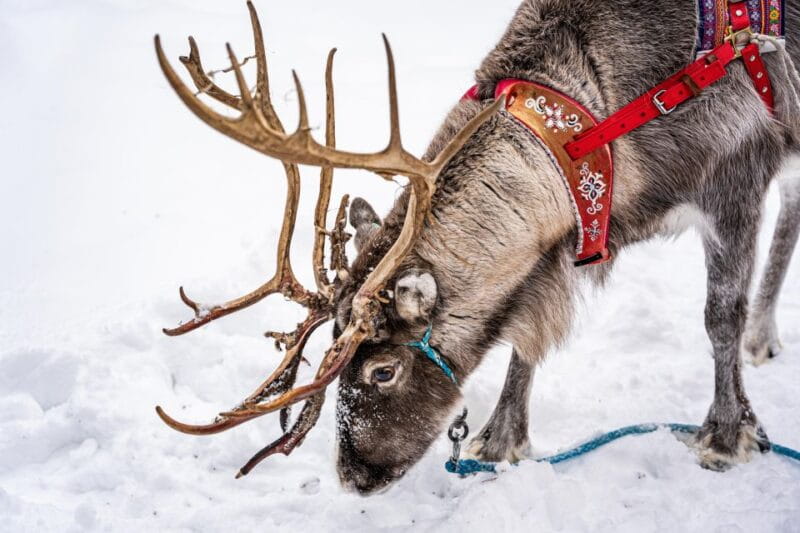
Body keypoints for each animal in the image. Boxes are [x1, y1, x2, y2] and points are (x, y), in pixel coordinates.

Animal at [154, 0, 800, 494]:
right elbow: (526, 333)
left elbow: (719, 315)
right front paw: (500, 440)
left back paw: (756, 342)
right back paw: (763, 337)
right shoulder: (558, 251)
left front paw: (728, 436)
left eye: (383, 371)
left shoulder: (736, 177)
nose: (352, 479)